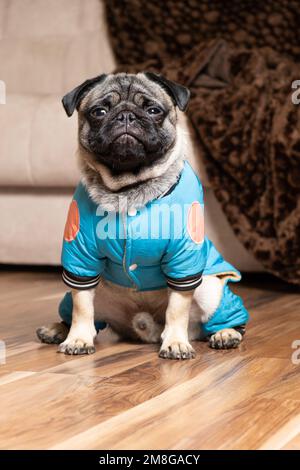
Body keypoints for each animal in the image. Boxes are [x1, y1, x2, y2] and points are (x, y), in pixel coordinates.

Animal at [37, 72, 248, 360]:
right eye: (99, 112)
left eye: (153, 110)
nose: (126, 115)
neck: (129, 189)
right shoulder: (81, 259)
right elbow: (82, 307)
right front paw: (78, 338)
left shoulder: (184, 262)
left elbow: (177, 309)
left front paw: (175, 342)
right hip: (79, 297)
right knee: (81, 312)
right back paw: (59, 329)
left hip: (210, 289)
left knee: (220, 317)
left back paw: (225, 333)